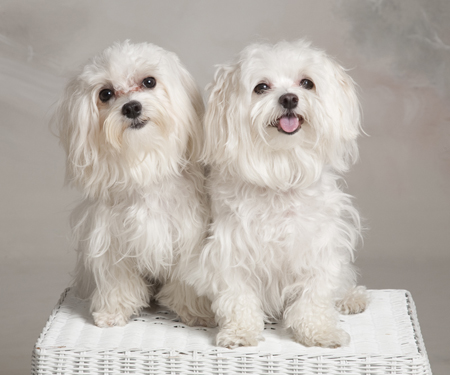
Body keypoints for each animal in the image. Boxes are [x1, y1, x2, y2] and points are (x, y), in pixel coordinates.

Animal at [190, 39, 370, 348]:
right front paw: (240, 332)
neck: (281, 173)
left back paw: (352, 297)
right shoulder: (229, 252)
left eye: (307, 83)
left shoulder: (318, 248)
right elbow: (238, 298)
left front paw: (319, 331)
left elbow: (315, 296)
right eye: (261, 87)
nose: (289, 99)